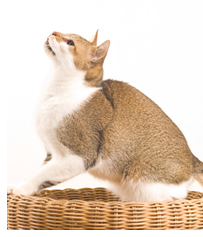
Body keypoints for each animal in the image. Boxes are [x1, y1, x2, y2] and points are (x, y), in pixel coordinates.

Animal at [7, 29, 202, 202]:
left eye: (70, 42)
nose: (54, 32)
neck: (58, 92)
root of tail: (192, 158)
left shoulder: (79, 156)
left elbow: (43, 174)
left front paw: (21, 189)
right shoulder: (51, 153)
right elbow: (38, 171)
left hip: (144, 179)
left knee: (173, 200)